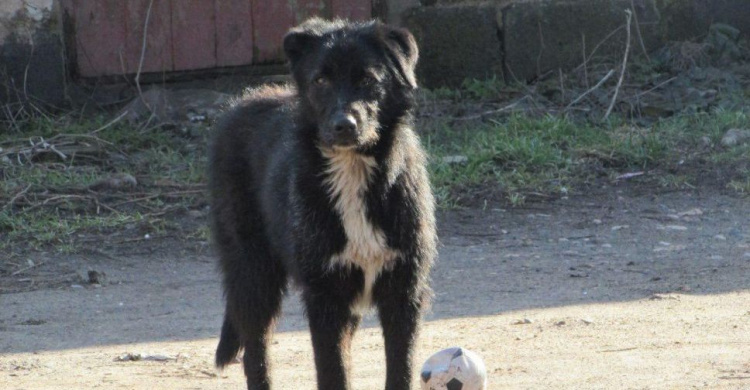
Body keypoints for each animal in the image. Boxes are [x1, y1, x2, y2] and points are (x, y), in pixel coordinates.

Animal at [209, 18, 438, 390]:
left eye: (368, 79)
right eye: (320, 80)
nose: (344, 125)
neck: (353, 171)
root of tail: (240, 103)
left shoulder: (403, 292)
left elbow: (399, 370)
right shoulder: (325, 298)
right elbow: (333, 372)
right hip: (252, 273)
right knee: (256, 354)